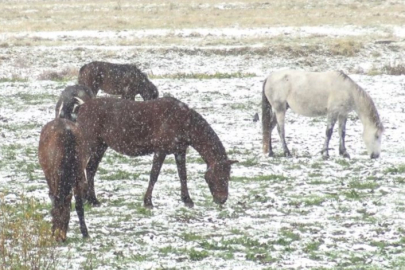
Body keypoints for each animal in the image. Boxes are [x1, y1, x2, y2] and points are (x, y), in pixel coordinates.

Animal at [76, 96, 237, 207]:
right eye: (220, 175)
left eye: (228, 176)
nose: (222, 199)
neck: (183, 121)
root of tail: (81, 107)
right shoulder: (161, 150)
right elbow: (154, 175)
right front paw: (148, 202)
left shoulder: (180, 151)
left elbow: (183, 175)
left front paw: (187, 200)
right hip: (89, 144)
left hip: (101, 146)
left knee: (91, 169)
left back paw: (93, 200)